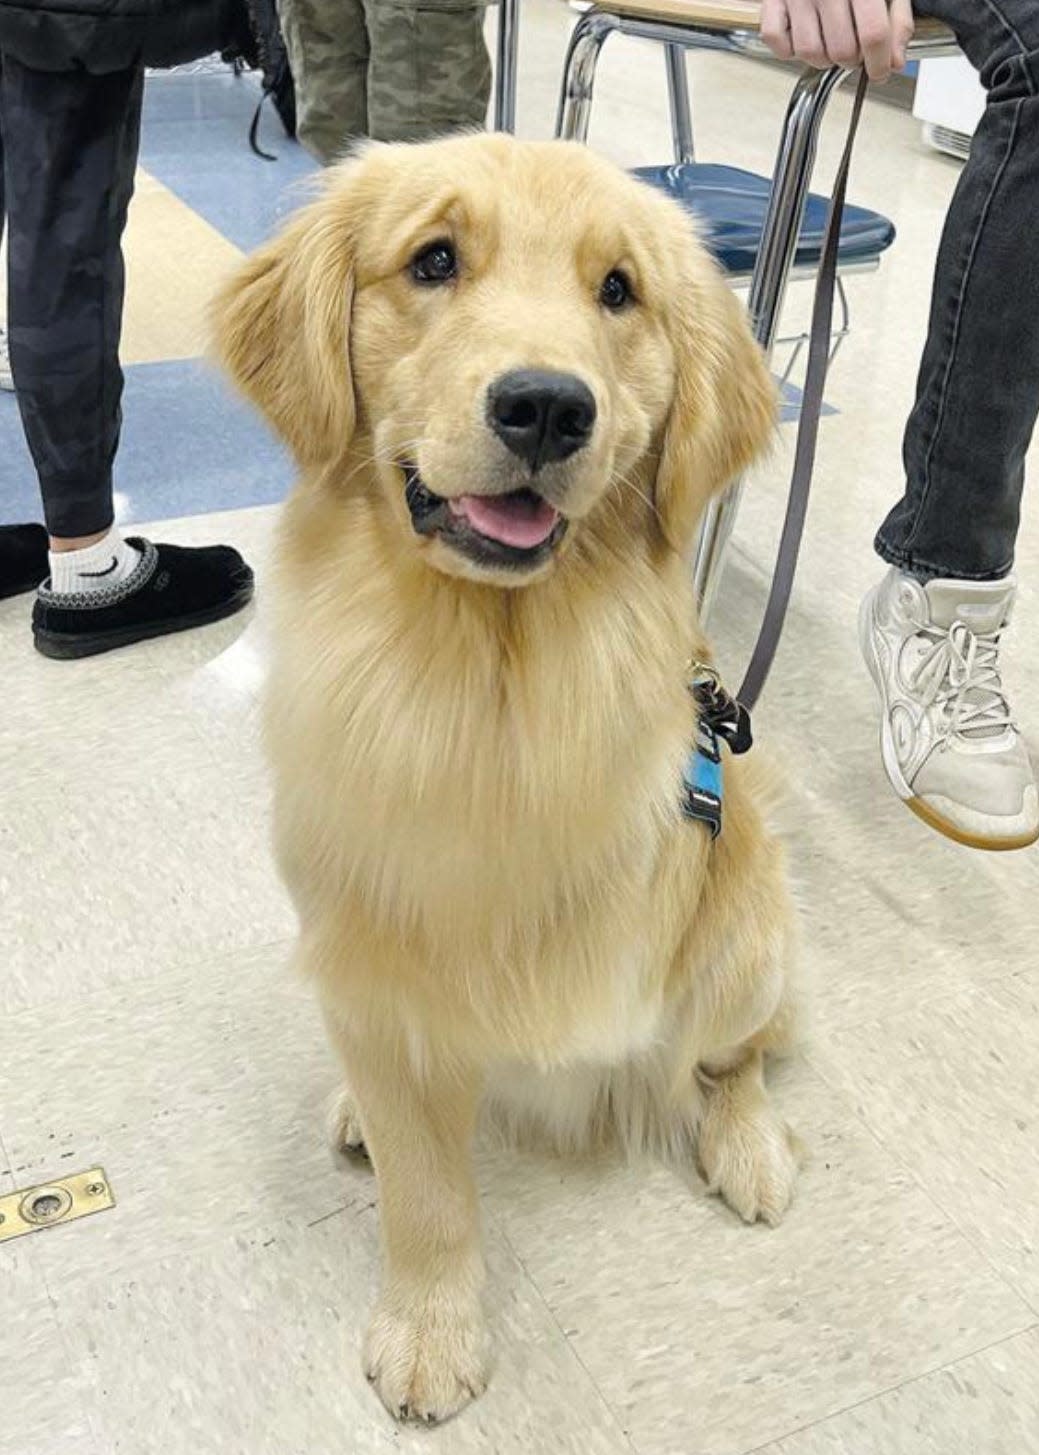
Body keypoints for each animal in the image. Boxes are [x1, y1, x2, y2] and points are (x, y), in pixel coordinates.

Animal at [211, 130, 791, 1425]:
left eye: (619, 291)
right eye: (433, 260)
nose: (545, 407)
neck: (479, 673)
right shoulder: (369, 966)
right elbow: (426, 1193)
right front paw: (432, 1329)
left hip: (744, 951)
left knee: (729, 1060)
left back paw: (751, 1146)